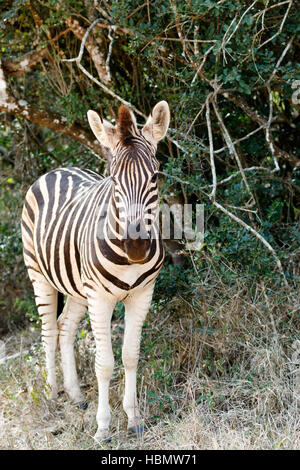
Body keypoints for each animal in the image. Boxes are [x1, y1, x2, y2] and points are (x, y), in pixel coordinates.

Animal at [21, 100, 170, 440]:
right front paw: (103, 428)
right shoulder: (100, 300)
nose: (136, 247)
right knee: (49, 330)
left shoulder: (142, 294)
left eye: (155, 175)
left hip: (77, 288)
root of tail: (57, 170)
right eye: (113, 180)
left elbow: (130, 356)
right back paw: (53, 394)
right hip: (39, 275)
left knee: (65, 327)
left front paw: (134, 419)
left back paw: (76, 396)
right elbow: (105, 363)